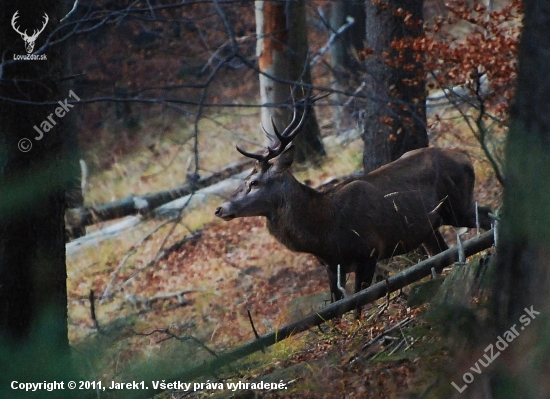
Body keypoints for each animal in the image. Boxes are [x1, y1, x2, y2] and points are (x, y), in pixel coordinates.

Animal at [215, 100, 492, 318]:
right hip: (428, 227)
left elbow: (358, 303)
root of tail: (464, 155)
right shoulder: (331, 266)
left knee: (487, 216)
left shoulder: (369, 252)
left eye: (254, 182)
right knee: (443, 251)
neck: (325, 232)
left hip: (458, 206)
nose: (219, 209)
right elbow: (336, 309)